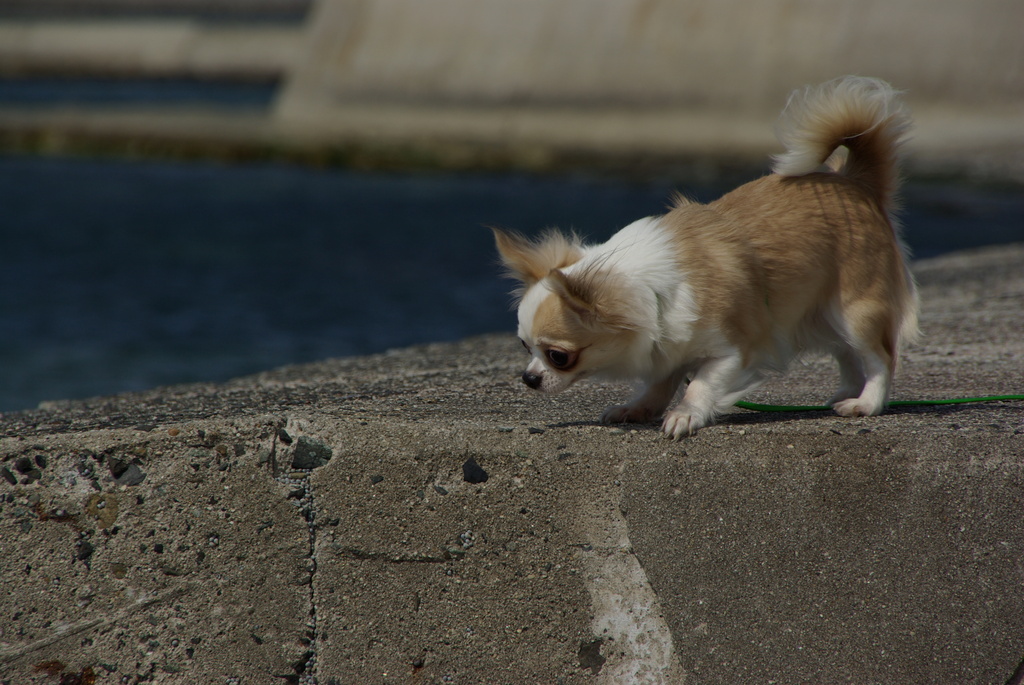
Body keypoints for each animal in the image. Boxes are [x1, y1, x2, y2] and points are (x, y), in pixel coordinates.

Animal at [493, 74, 921, 438]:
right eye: (524, 347)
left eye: (557, 356)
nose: (528, 378)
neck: (652, 291)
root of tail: (855, 182)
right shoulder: (666, 349)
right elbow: (660, 382)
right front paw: (638, 408)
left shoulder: (734, 352)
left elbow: (699, 383)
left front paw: (685, 414)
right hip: (821, 313)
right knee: (846, 353)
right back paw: (844, 393)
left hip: (856, 309)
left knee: (880, 356)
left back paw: (867, 403)